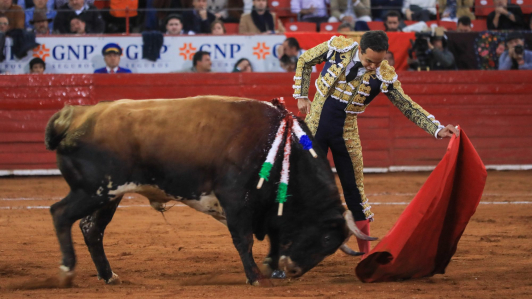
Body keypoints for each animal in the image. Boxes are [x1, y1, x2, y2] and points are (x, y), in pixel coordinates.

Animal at [45, 96, 374, 288]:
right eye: (327, 238)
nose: (293, 270)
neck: (281, 147)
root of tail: (76, 116)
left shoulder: (268, 206)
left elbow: (275, 235)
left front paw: (271, 268)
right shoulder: (235, 198)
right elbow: (243, 239)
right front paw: (255, 277)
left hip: (109, 194)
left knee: (92, 229)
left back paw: (108, 275)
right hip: (92, 190)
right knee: (60, 214)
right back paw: (67, 271)